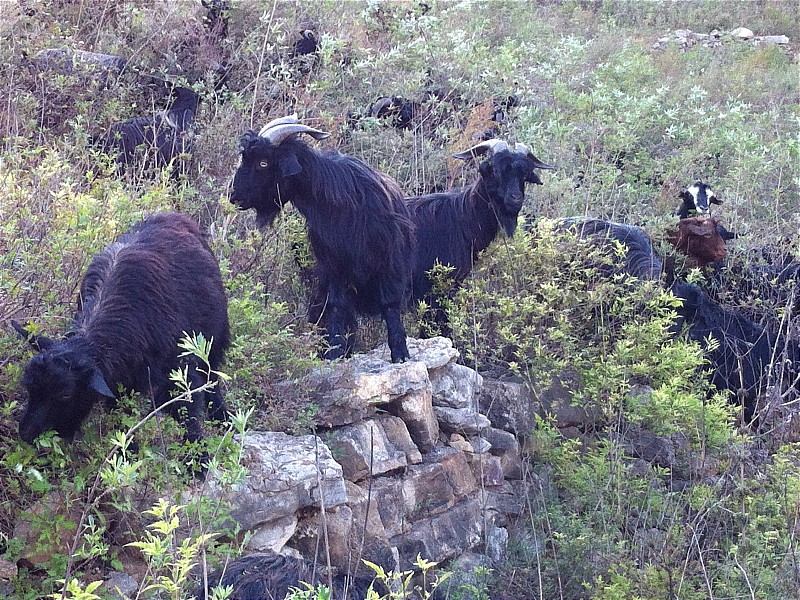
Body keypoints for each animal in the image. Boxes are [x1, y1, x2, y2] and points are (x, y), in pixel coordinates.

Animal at [12, 213, 231, 466]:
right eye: (29, 387)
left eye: (65, 394)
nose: (26, 435)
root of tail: (171, 216)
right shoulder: (120, 380)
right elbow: (121, 421)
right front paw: (128, 457)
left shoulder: (183, 373)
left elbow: (191, 417)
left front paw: (199, 462)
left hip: (213, 342)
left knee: (212, 378)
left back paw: (223, 418)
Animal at [231, 115, 416, 364]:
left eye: (263, 163)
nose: (234, 196)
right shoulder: (332, 263)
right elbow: (337, 306)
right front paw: (334, 352)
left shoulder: (389, 260)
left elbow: (390, 303)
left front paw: (401, 354)